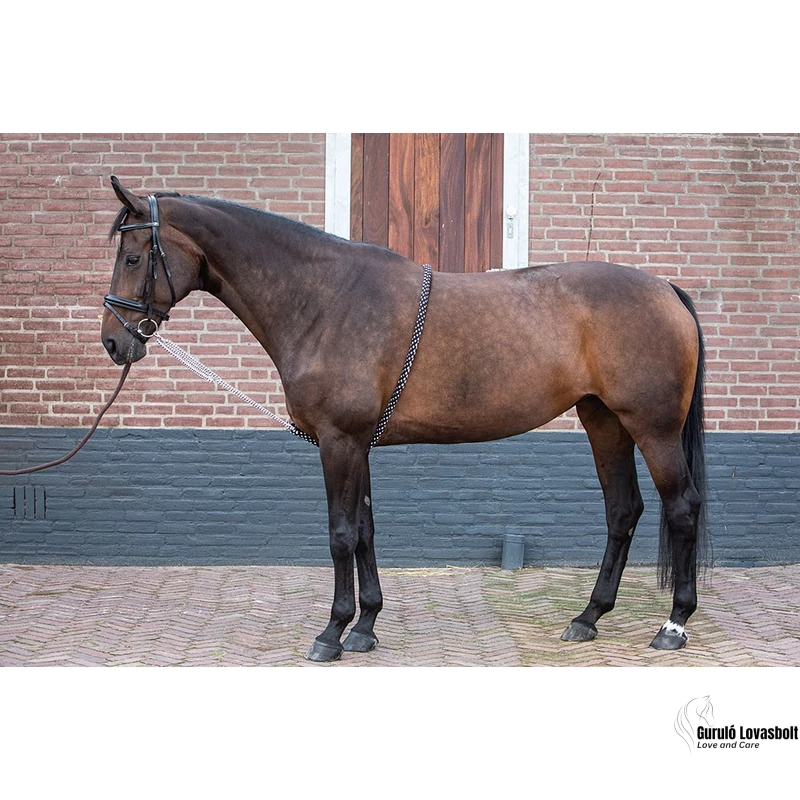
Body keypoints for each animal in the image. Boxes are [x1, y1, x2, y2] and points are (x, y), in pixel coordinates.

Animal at [101, 176, 708, 662]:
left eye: (132, 257)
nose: (113, 342)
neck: (325, 300)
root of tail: (666, 288)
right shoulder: (356, 442)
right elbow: (366, 530)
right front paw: (365, 626)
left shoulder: (339, 441)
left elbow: (341, 533)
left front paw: (331, 633)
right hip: (603, 421)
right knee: (623, 510)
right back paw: (587, 618)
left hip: (652, 428)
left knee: (681, 507)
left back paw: (673, 624)